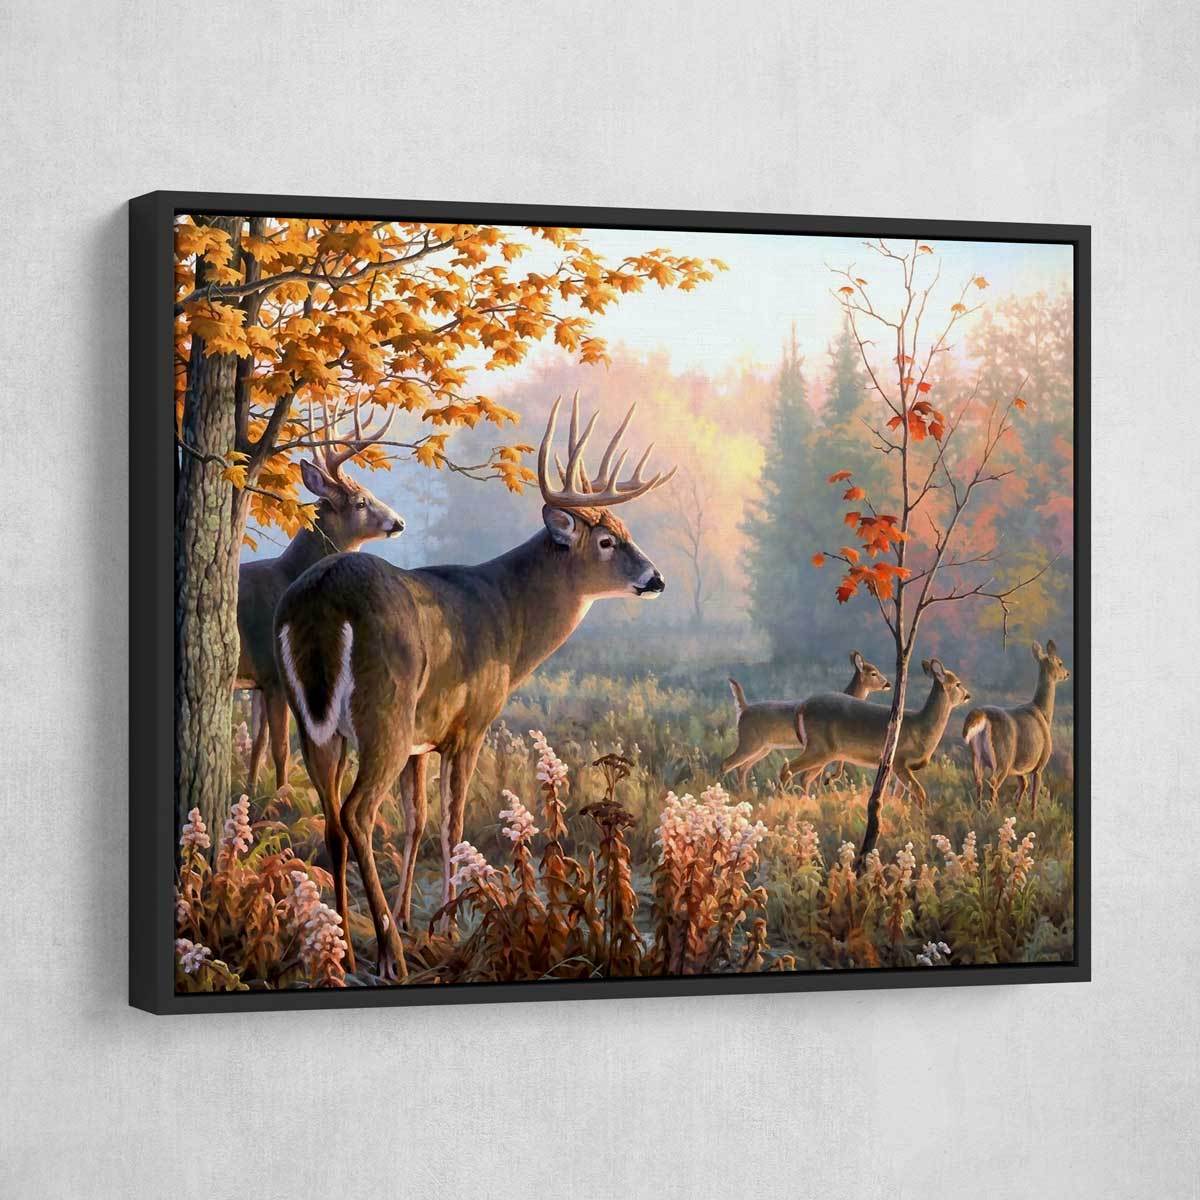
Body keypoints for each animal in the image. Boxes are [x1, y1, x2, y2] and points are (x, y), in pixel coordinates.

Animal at [234, 401, 404, 795]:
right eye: (361, 501)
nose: (399, 522)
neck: (288, 577)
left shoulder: (259, 679)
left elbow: (259, 744)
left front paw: (251, 791)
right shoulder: (274, 672)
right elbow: (281, 746)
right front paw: (281, 795)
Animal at [273, 395, 675, 978]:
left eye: (627, 527)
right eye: (605, 540)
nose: (656, 579)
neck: (508, 620)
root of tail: (322, 600)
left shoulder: (422, 739)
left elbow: (416, 820)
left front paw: (416, 921)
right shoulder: (470, 724)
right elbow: (452, 823)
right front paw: (452, 926)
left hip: (318, 725)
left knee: (332, 821)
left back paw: (345, 946)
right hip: (384, 711)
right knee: (357, 813)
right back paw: (389, 955)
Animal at [720, 651, 891, 792]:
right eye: (874, 673)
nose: (888, 684)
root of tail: (744, 709)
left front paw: (828, 782)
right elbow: (818, 775)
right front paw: (823, 788)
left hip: (763, 748)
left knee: (742, 767)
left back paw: (745, 794)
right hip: (750, 742)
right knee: (727, 763)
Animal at [778, 658, 972, 808]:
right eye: (958, 684)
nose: (968, 695)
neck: (922, 728)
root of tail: (802, 706)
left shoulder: (902, 768)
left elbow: (898, 796)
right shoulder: (898, 760)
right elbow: (920, 793)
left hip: (824, 753)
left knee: (805, 776)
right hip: (819, 747)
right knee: (787, 769)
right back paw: (782, 801)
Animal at [962, 638, 1070, 814]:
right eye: (1060, 663)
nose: (1067, 673)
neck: (1043, 713)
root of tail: (982, 715)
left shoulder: (1020, 767)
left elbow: (1023, 785)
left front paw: (1017, 811)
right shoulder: (1039, 764)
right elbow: (1034, 795)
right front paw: (1032, 816)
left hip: (976, 756)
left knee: (978, 781)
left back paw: (979, 812)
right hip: (1002, 757)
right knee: (993, 782)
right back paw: (992, 813)